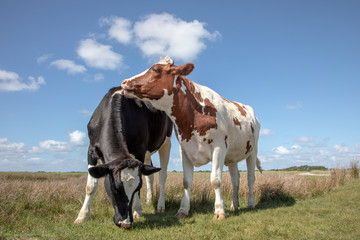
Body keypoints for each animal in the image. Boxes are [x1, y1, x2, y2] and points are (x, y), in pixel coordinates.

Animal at [74, 86, 172, 229]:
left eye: (137, 187)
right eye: (115, 188)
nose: (125, 223)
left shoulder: (140, 150)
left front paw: (137, 211)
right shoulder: (91, 149)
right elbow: (90, 186)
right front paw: (82, 216)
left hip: (166, 143)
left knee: (162, 176)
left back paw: (160, 205)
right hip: (148, 153)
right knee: (150, 175)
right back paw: (149, 200)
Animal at [121, 57, 262, 219]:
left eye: (156, 69)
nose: (124, 82)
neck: (194, 114)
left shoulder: (219, 147)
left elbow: (215, 180)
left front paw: (219, 211)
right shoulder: (185, 149)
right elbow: (186, 181)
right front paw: (183, 210)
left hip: (252, 151)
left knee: (250, 178)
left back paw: (250, 203)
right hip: (232, 157)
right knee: (236, 179)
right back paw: (235, 204)